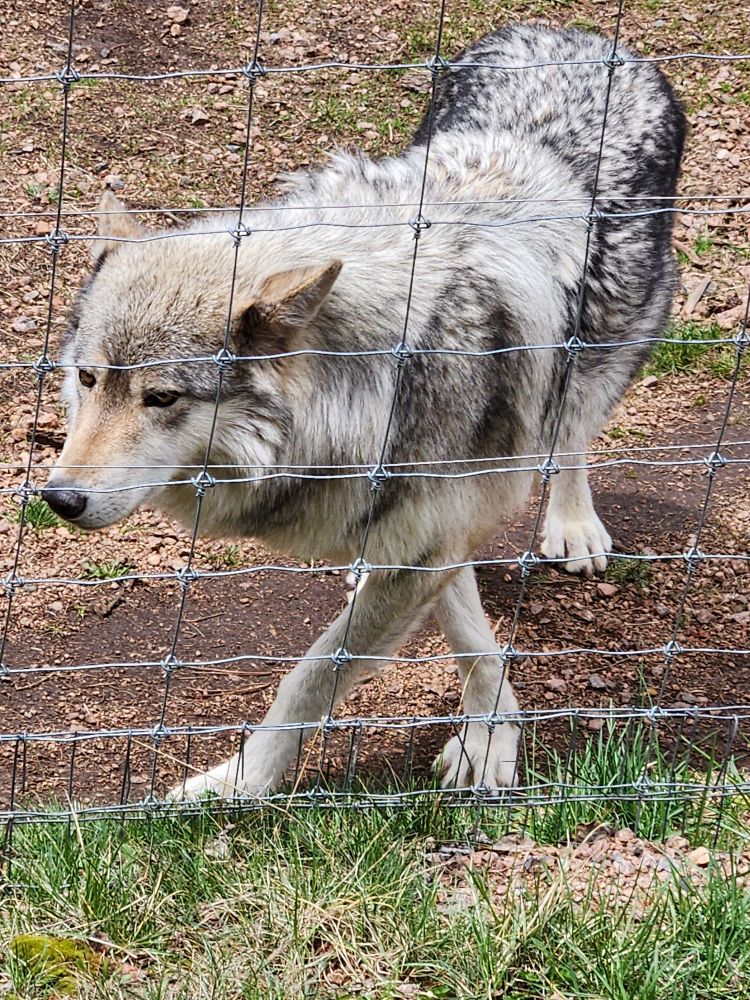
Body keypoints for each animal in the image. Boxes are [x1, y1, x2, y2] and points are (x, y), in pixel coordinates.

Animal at [43, 23, 685, 798]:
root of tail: (576, 33)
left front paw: (242, 783)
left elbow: (313, 677)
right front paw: (491, 729)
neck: (365, 376)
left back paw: (572, 524)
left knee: (573, 430)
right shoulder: (428, 527)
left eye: (161, 397)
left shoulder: (431, 524)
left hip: (601, 353)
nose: (59, 498)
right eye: (88, 379)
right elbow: (468, 630)